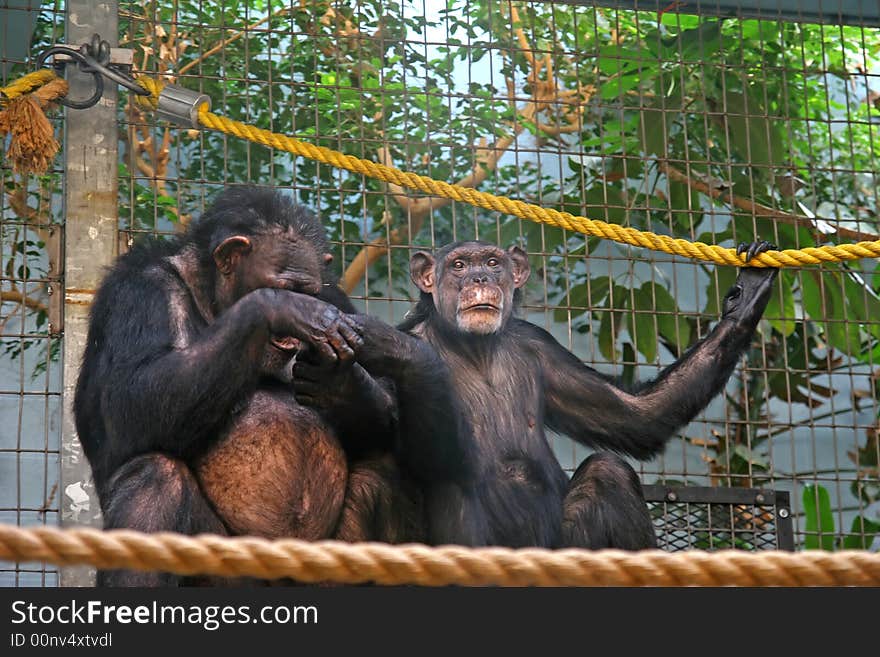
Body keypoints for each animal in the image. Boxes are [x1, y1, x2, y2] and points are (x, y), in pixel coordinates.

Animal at [74, 186, 468, 584]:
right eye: (287, 287)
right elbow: (129, 402)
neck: (209, 296)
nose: (302, 308)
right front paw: (281, 307)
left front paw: (340, 386)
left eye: (310, 290)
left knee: (385, 467)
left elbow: (386, 407)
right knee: (155, 477)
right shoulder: (138, 290)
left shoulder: (333, 293)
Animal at [398, 238, 776, 544]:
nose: (481, 279)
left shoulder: (541, 348)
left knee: (608, 472)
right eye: (459, 265)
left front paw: (747, 296)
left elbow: (639, 416)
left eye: (492, 263)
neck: (473, 348)